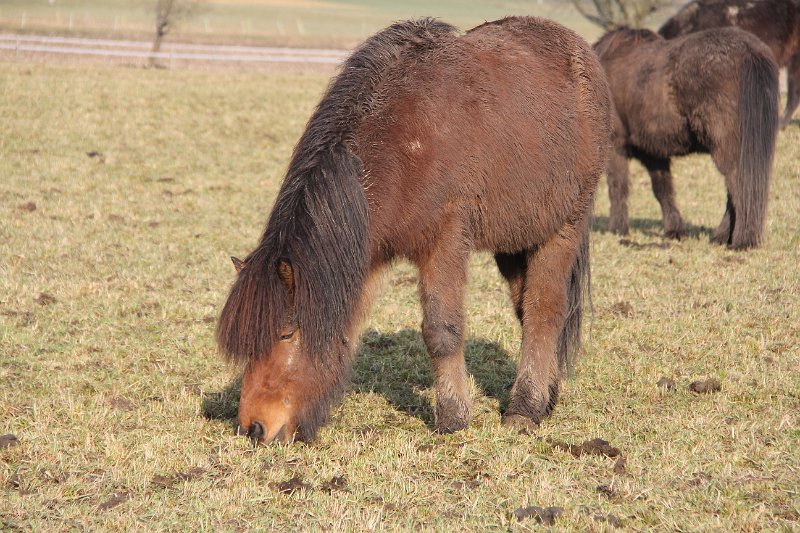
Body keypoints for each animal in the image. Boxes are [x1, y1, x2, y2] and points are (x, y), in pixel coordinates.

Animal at [216, 16, 608, 442]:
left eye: (287, 333)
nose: (253, 427)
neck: (401, 140)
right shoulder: (368, 256)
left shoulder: (444, 244)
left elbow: (442, 330)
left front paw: (453, 416)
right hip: (516, 241)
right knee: (526, 308)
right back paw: (546, 396)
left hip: (563, 228)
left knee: (544, 311)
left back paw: (526, 408)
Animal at [596, 26, 780, 247]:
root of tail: (749, 51)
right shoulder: (653, 152)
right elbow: (663, 190)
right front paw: (674, 230)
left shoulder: (616, 147)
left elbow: (618, 187)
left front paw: (617, 228)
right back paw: (722, 237)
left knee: (738, 187)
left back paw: (741, 239)